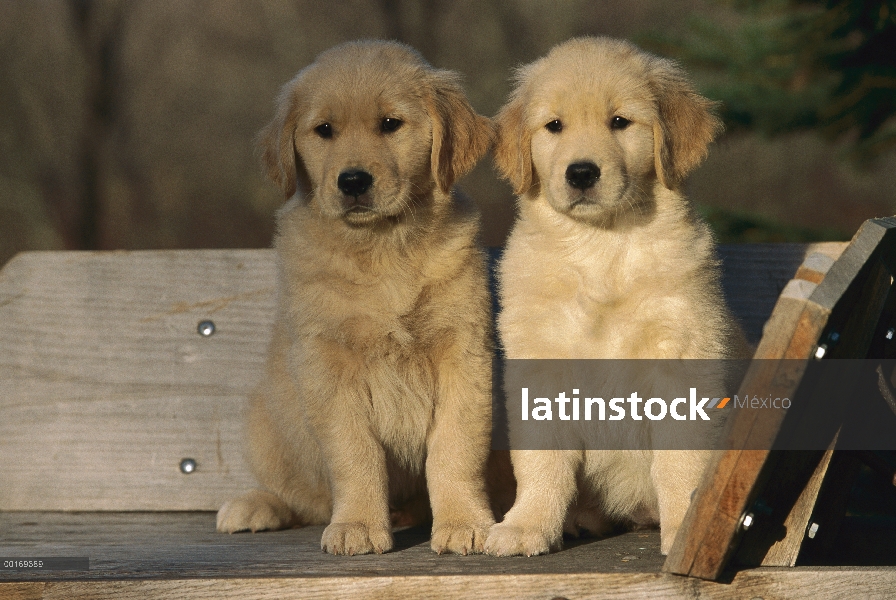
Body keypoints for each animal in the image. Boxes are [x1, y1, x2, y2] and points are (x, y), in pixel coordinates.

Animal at [217, 39, 496, 556]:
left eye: (390, 123)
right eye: (324, 130)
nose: (352, 182)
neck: (382, 248)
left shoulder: (464, 353)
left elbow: (454, 448)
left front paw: (465, 521)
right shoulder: (329, 365)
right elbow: (355, 454)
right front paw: (359, 525)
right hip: (265, 422)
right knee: (301, 495)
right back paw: (255, 504)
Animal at [484, 37, 748, 556]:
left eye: (620, 122)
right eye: (554, 126)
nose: (582, 173)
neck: (601, 247)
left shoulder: (681, 356)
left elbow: (678, 461)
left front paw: (682, 527)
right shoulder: (539, 364)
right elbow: (541, 460)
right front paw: (528, 524)